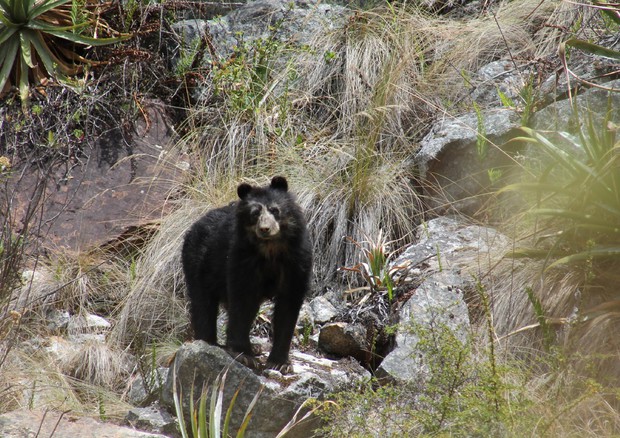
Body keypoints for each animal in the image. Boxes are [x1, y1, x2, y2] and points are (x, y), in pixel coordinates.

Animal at [182, 176, 312, 372]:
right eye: (254, 213)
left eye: (275, 210)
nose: (265, 228)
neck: (271, 249)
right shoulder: (242, 257)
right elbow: (242, 300)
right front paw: (244, 355)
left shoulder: (296, 261)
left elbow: (288, 304)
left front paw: (279, 362)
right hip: (198, 263)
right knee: (203, 304)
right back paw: (209, 343)